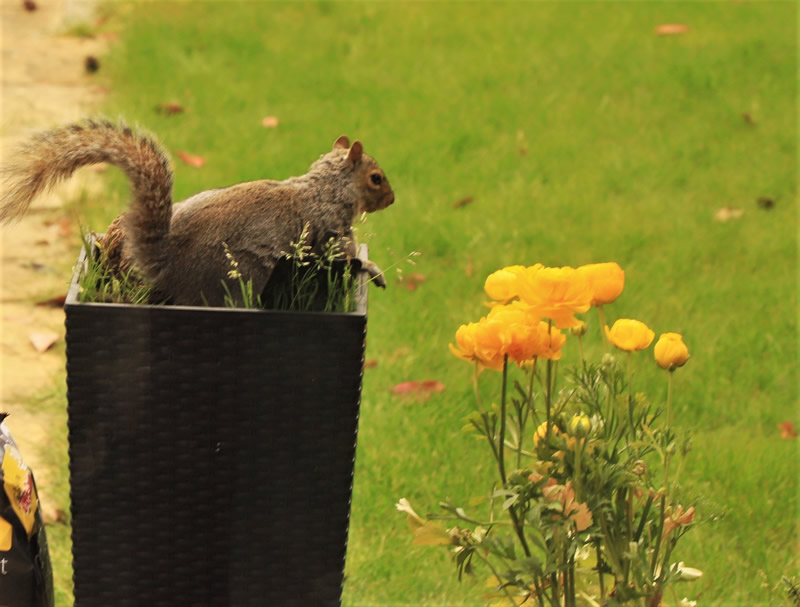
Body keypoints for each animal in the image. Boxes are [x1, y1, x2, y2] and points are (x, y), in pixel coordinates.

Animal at [0, 120, 394, 308]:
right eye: (376, 178)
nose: (391, 199)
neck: (327, 187)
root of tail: (166, 265)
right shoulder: (331, 231)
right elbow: (347, 255)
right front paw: (374, 270)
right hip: (238, 279)